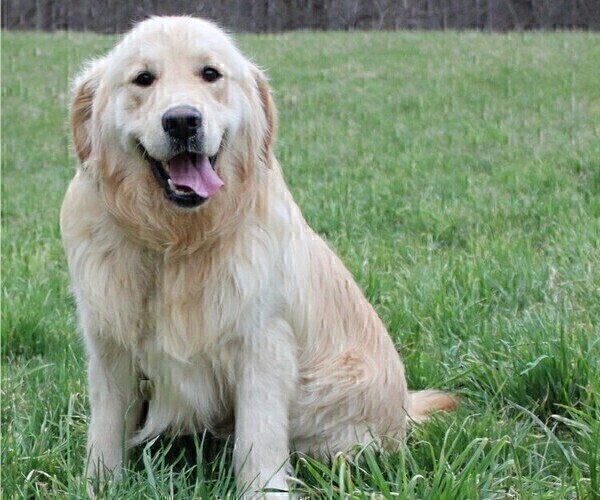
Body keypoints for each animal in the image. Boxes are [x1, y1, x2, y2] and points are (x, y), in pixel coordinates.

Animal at [61, 14, 454, 496]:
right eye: (143, 78)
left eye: (210, 74)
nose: (182, 121)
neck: (176, 244)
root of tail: (404, 410)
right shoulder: (110, 348)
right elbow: (106, 429)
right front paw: (100, 484)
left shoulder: (263, 346)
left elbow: (259, 439)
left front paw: (264, 490)